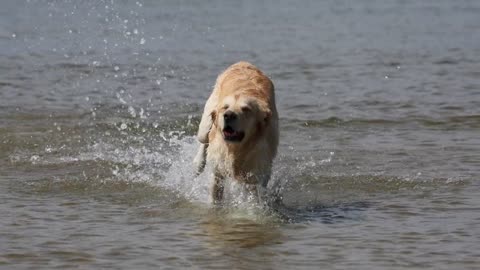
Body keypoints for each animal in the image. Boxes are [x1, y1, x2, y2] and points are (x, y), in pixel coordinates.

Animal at [194, 61, 280, 205]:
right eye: (225, 107)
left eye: (246, 109)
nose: (228, 115)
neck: (236, 148)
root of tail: (243, 62)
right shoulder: (218, 169)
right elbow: (215, 194)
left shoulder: (257, 173)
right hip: (206, 122)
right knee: (204, 140)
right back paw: (197, 164)